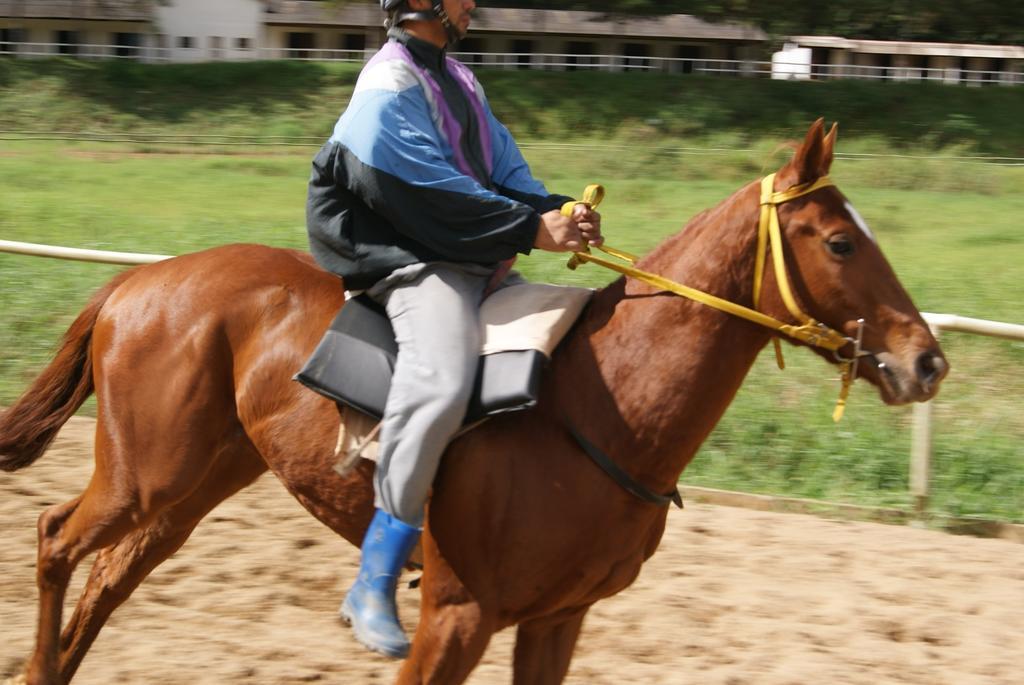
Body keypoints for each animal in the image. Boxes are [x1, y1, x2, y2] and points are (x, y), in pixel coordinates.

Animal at [0, 120, 946, 679]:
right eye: (839, 239)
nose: (926, 359)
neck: (602, 406)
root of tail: (137, 283)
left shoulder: (557, 619)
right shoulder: (456, 616)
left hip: (194, 484)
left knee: (109, 578)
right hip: (143, 474)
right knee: (54, 536)